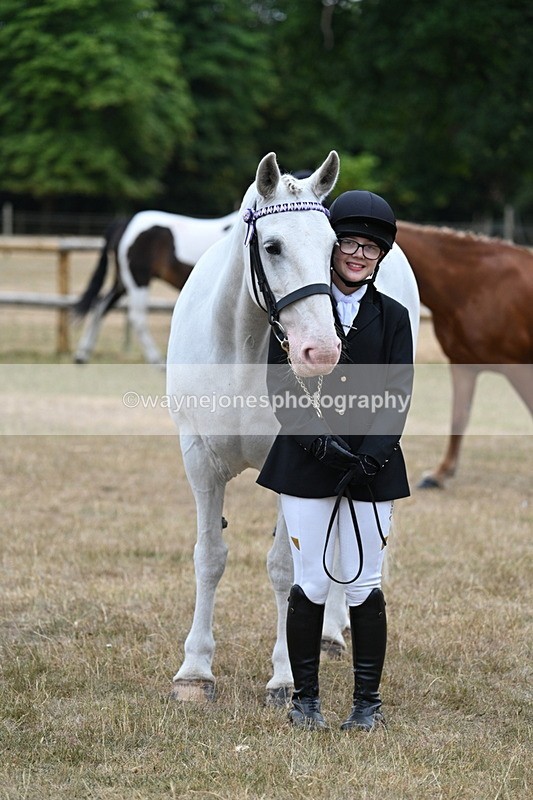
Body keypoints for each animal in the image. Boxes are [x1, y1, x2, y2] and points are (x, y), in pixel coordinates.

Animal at [72, 209, 239, 365]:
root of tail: (125, 223)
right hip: (138, 281)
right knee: (137, 318)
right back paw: (158, 361)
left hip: (123, 283)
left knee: (100, 307)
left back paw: (82, 354)